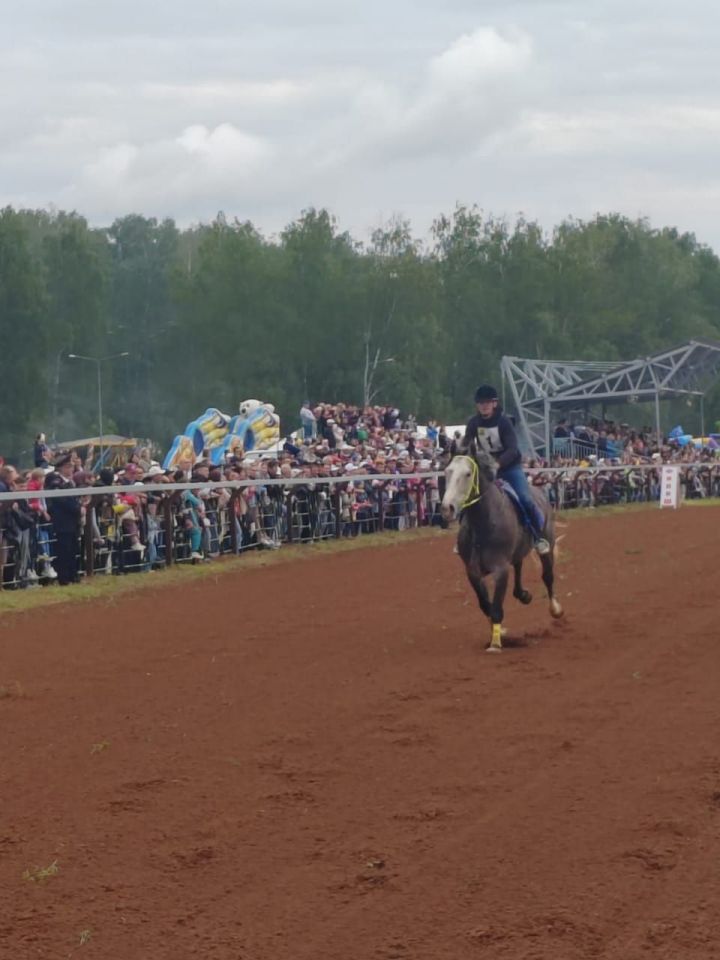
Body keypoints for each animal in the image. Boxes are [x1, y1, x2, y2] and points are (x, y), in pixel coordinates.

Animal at [438, 444, 564, 652]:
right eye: (447, 471)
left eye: (467, 473)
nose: (447, 508)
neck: (484, 523)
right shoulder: (472, 571)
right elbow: (485, 605)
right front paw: (499, 633)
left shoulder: (500, 569)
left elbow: (496, 607)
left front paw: (495, 644)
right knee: (519, 565)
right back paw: (523, 595)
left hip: (548, 544)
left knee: (548, 576)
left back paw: (556, 609)